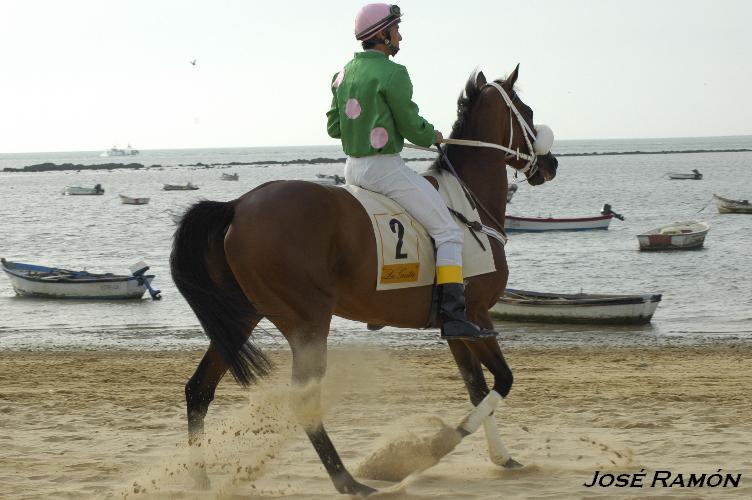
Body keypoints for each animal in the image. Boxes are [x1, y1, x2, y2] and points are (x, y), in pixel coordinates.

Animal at [172, 65, 560, 496]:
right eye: (527, 111)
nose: (551, 164)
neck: (467, 202)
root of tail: (237, 205)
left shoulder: (456, 327)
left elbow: (477, 387)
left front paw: (503, 458)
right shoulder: (476, 315)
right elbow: (503, 380)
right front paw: (438, 444)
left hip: (241, 318)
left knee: (199, 389)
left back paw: (200, 477)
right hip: (308, 323)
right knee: (302, 401)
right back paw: (348, 481)